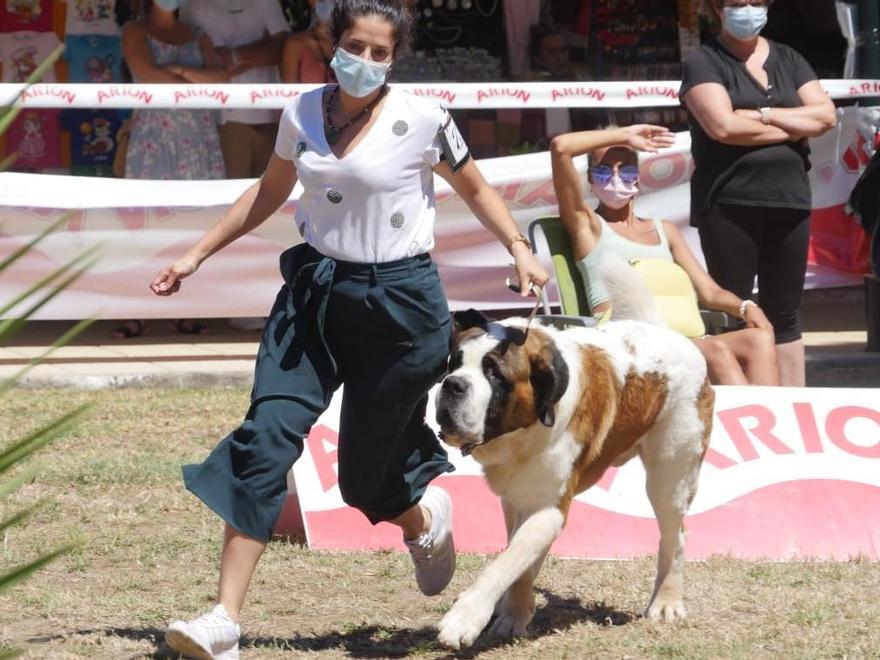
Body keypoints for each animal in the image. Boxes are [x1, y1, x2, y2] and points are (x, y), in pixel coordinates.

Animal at [434, 255, 716, 648]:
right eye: (453, 363)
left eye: (494, 374)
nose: (453, 385)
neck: (523, 430)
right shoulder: (517, 500)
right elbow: (518, 558)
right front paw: (513, 615)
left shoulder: (549, 507)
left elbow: (505, 562)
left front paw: (467, 619)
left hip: (670, 472)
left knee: (674, 534)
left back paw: (666, 603)